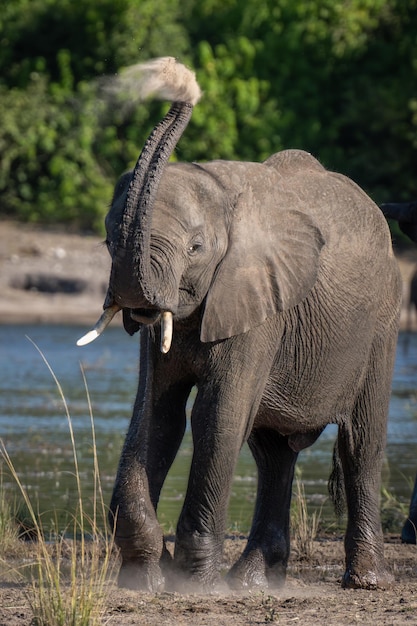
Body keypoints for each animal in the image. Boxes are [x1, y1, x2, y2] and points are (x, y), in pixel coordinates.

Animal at [76, 58, 402, 588]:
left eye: (195, 248)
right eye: (106, 239)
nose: (178, 77)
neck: (219, 190)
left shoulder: (259, 300)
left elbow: (216, 414)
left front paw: (193, 585)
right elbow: (157, 411)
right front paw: (149, 579)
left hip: (382, 319)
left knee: (360, 444)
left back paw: (365, 581)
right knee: (273, 453)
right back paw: (251, 581)